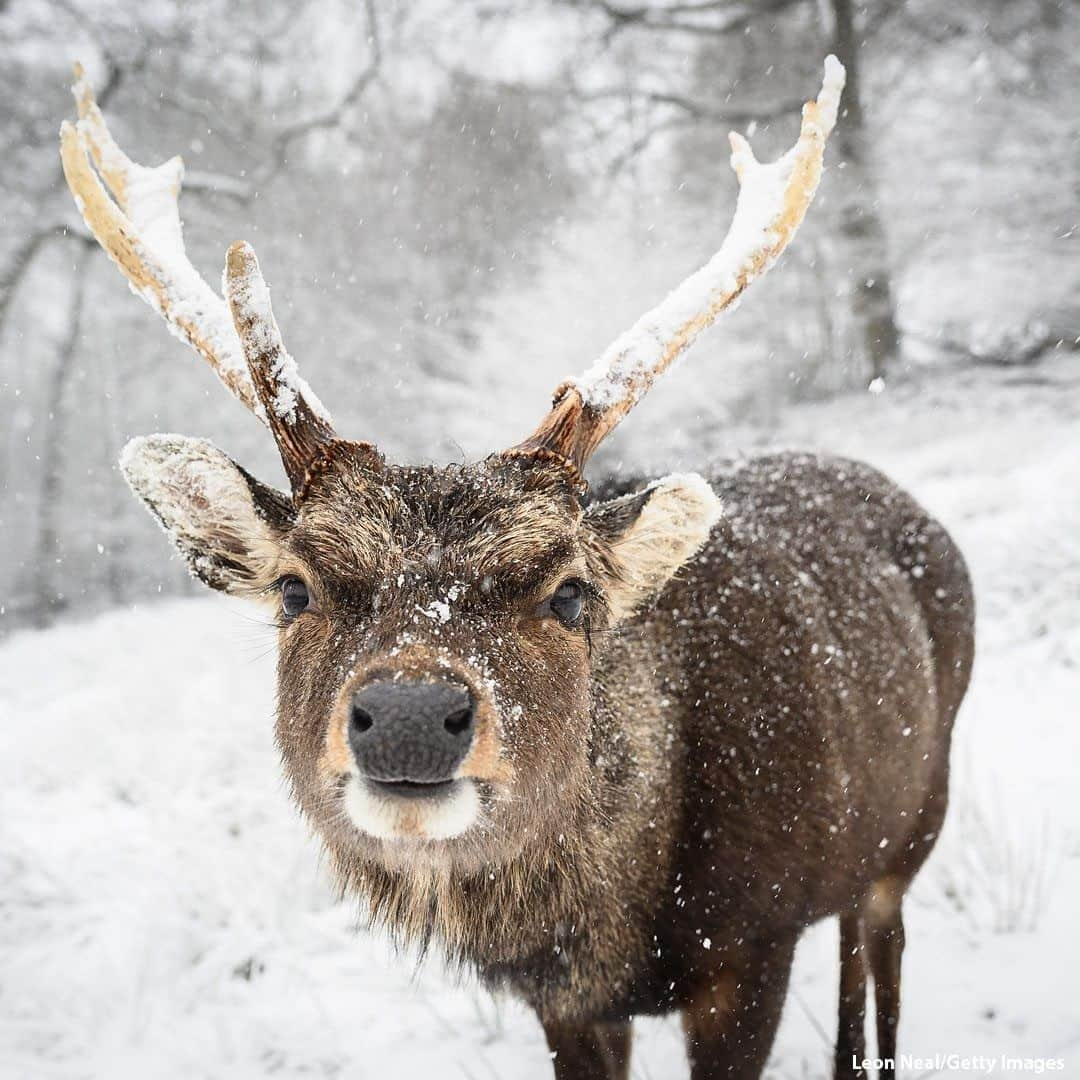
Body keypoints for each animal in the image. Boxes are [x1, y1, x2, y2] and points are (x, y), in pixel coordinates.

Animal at [56, 59, 972, 1080]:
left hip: (918, 816)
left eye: (570, 592)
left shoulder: (753, 942)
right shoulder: (559, 1000)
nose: (411, 717)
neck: (615, 930)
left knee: (880, 945)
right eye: (295, 588)